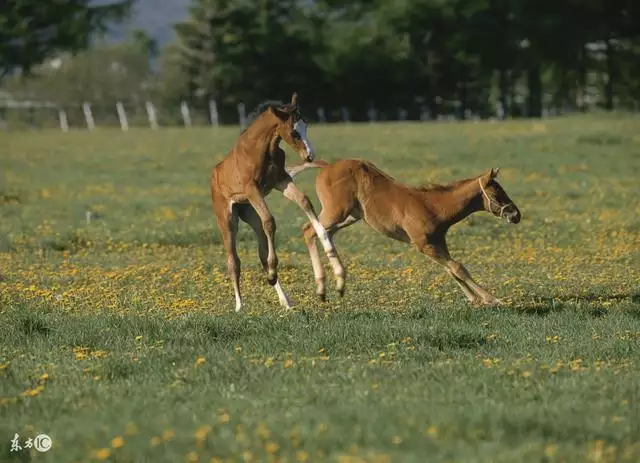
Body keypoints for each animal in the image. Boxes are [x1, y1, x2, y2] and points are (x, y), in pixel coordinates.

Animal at [211, 93, 344, 312]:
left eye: (306, 126)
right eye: (294, 132)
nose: (310, 156)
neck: (263, 149)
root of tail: (215, 174)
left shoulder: (281, 181)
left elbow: (304, 201)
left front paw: (325, 239)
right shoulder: (252, 189)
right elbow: (270, 221)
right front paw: (273, 273)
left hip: (249, 211)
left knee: (261, 250)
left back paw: (285, 299)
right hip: (228, 219)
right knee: (233, 260)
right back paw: (240, 305)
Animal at [290, 160, 520, 308]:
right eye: (496, 194)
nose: (516, 214)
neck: (433, 206)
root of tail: (327, 166)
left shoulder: (438, 242)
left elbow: (451, 270)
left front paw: (475, 299)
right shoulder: (423, 245)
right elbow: (457, 268)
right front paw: (492, 299)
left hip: (350, 216)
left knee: (321, 234)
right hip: (336, 211)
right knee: (309, 230)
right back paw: (325, 284)